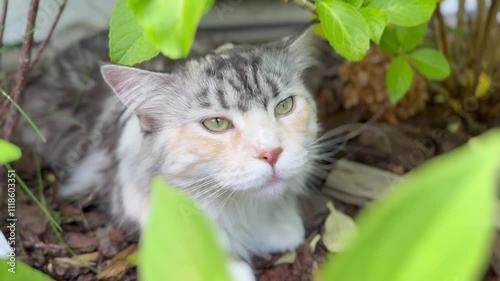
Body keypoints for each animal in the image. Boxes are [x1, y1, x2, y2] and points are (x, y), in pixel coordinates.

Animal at [18, 25, 320, 278]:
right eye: (216, 123)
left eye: (284, 106)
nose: (271, 152)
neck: (244, 210)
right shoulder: (136, 200)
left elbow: (290, 227)